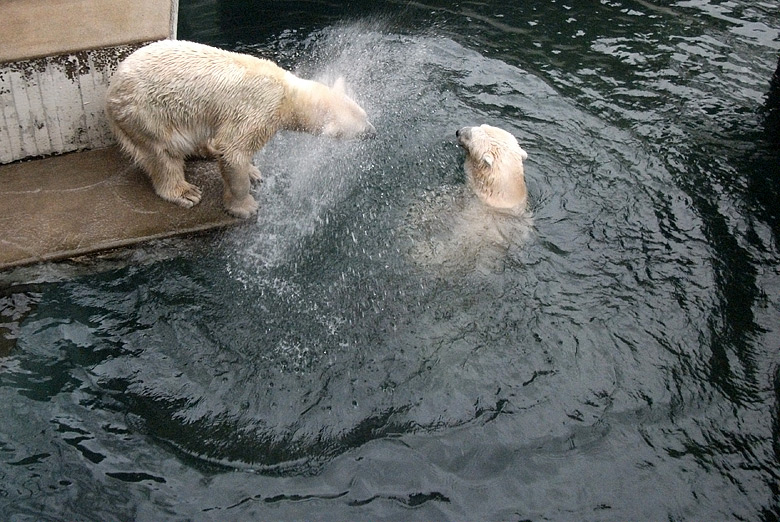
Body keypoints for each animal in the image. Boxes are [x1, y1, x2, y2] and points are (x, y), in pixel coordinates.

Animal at [106, 39, 374, 217]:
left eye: (365, 115)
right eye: (359, 129)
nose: (373, 131)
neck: (288, 93)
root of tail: (112, 89)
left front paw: (253, 172)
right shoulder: (260, 109)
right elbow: (233, 151)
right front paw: (245, 206)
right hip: (147, 112)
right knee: (163, 152)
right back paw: (184, 191)